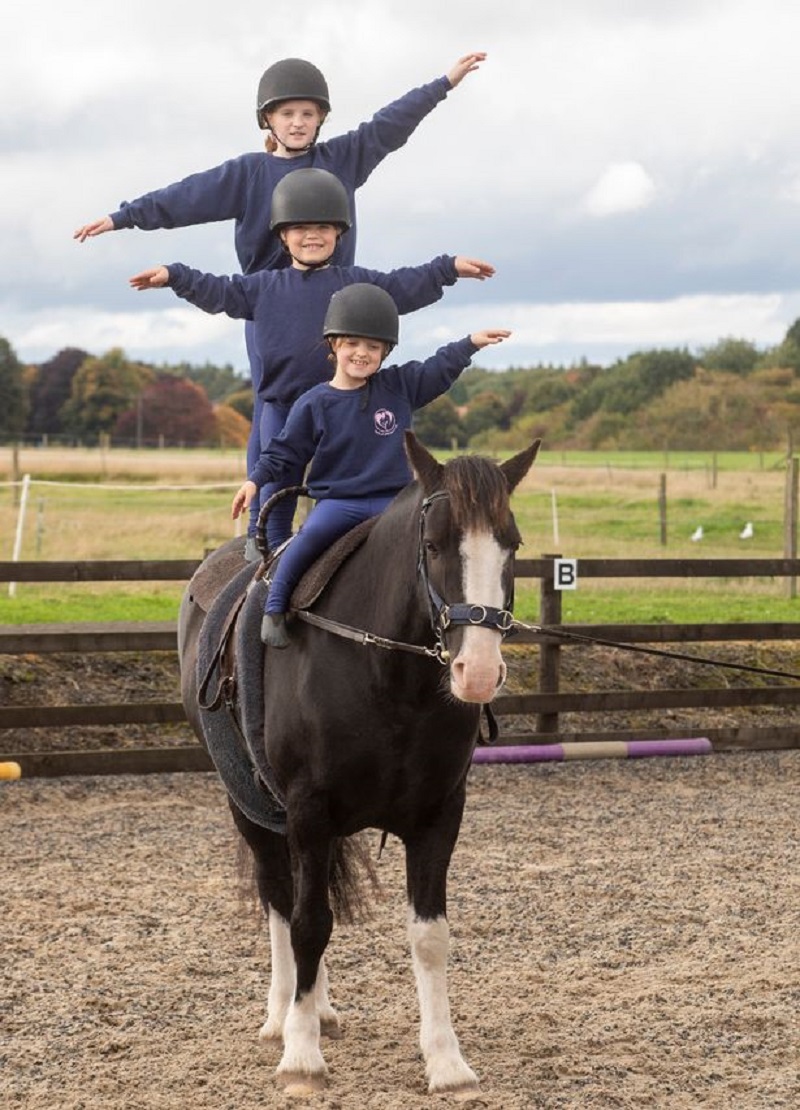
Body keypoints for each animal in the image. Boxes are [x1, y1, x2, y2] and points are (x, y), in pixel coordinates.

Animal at [175, 428, 537, 1096]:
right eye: (433, 544)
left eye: (513, 544)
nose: (476, 671)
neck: (387, 675)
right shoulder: (307, 812)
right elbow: (308, 922)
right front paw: (301, 1056)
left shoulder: (438, 815)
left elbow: (429, 936)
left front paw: (446, 1061)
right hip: (251, 808)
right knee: (280, 900)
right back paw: (282, 1014)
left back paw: (315, 1007)